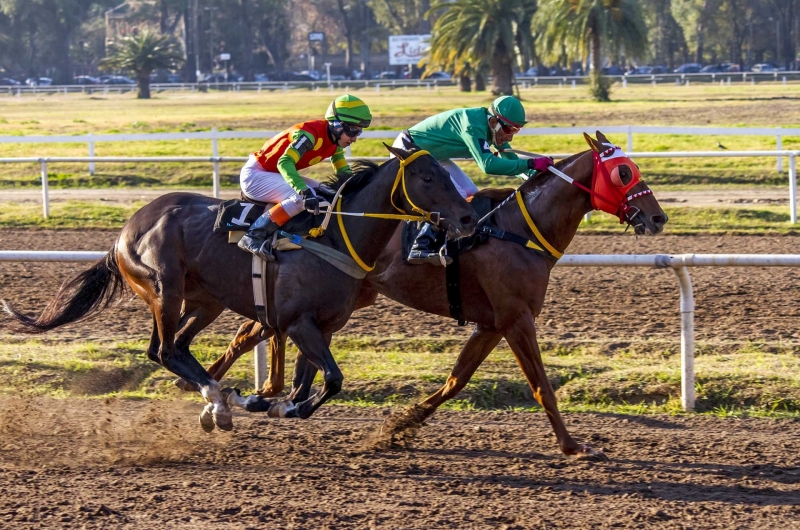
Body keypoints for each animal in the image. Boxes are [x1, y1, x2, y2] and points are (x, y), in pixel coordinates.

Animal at [1, 144, 476, 428]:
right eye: (428, 178)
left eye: (445, 173)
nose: (468, 217)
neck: (335, 236)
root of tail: (124, 231)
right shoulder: (298, 322)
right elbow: (332, 378)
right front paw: (279, 403)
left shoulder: (320, 326)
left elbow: (313, 379)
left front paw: (279, 401)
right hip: (164, 289)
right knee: (165, 350)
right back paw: (217, 400)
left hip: (205, 300)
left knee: (175, 348)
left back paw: (220, 400)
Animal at [189, 130, 668, 456]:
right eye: (624, 172)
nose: (657, 217)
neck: (518, 231)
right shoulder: (516, 318)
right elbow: (541, 387)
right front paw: (573, 446)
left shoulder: (491, 324)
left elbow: (456, 381)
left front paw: (400, 424)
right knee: (255, 332)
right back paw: (219, 395)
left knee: (258, 330)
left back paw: (229, 394)